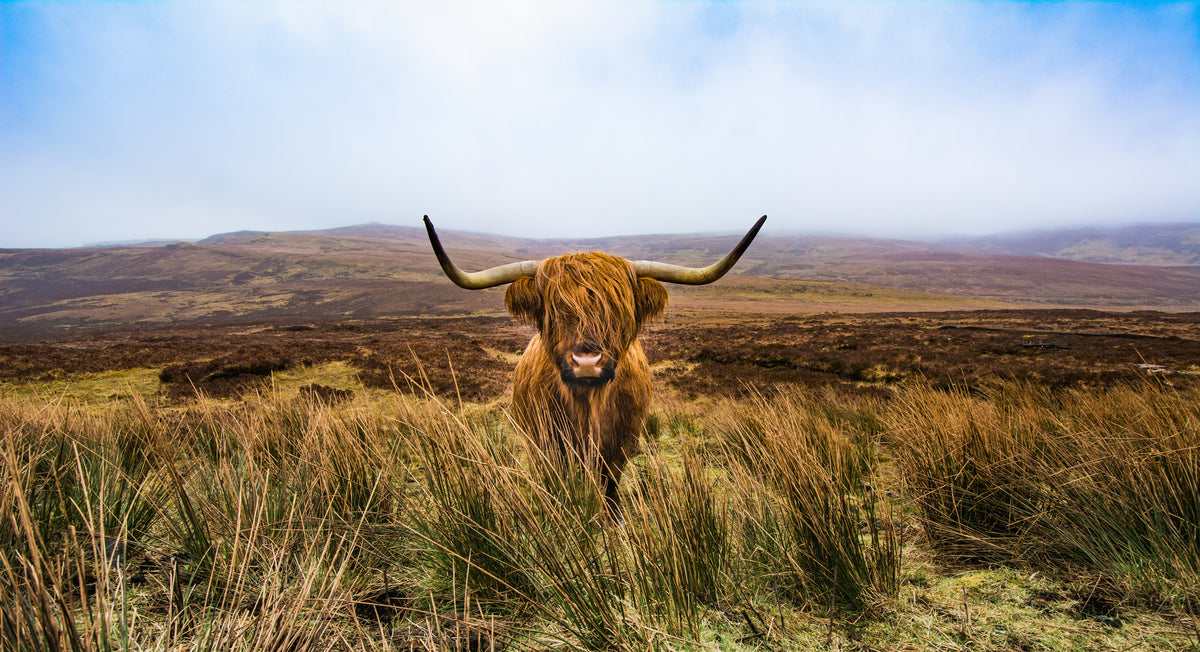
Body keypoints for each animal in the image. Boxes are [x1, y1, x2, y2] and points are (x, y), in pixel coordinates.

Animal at [424, 215, 766, 514]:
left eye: (618, 308)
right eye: (554, 309)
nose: (586, 362)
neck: (587, 406)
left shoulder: (623, 442)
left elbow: (611, 483)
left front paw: (614, 520)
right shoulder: (545, 444)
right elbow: (558, 484)